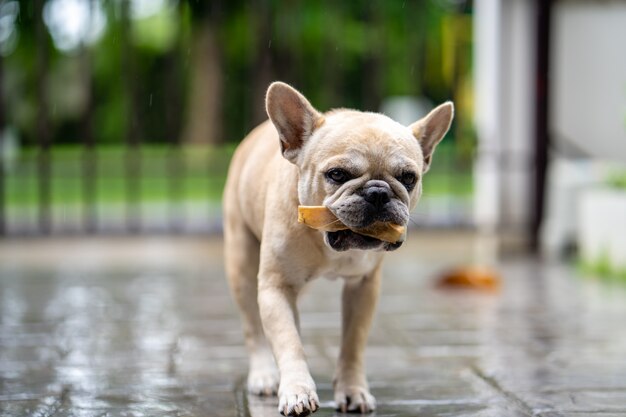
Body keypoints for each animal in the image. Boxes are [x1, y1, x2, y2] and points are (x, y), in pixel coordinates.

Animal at [222, 80, 450, 412]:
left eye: (408, 178)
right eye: (337, 174)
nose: (378, 192)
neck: (327, 241)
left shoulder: (363, 288)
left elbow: (353, 344)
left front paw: (352, 390)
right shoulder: (276, 286)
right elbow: (289, 341)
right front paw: (297, 390)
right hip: (242, 264)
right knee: (253, 325)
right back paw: (264, 374)